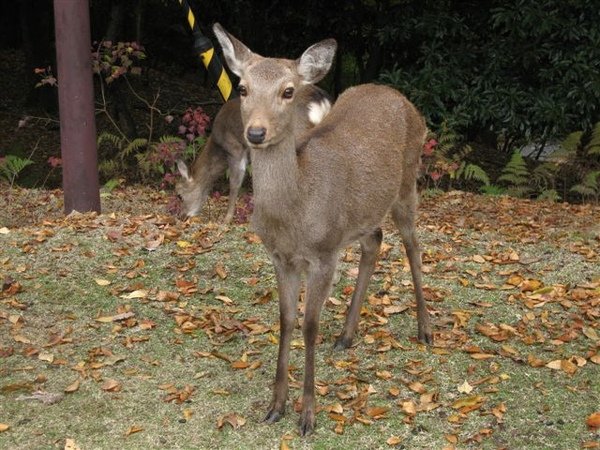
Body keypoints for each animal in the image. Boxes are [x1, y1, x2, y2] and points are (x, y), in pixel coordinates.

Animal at [173, 84, 332, 223]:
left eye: (180, 194)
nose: (181, 216)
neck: (219, 146)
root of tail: (320, 100)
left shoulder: (235, 149)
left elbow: (235, 184)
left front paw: (226, 220)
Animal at [211, 23, 432, 436]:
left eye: (288, 91)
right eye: (243, 88)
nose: (256, 133)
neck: (294, 218)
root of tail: (400, 98)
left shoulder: (325, 254)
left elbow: (310, 326)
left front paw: (307, 416)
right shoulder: (281, 258)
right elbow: (286, 321)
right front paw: (275, 406)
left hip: (408, 182)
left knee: (413, 245)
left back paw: (425, 329)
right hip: (362, 214)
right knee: (375, 241)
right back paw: (346, 335)